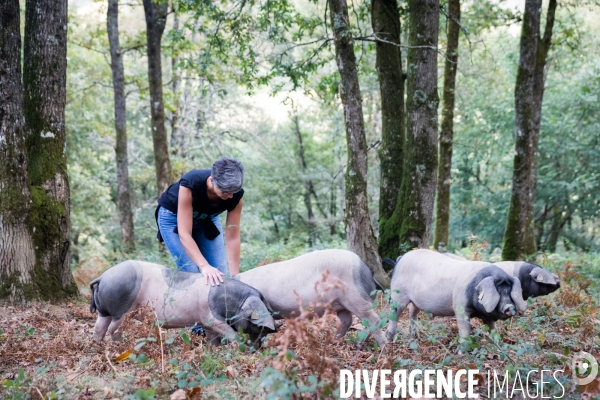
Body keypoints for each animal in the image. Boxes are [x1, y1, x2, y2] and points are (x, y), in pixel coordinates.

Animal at [89, 260, 276, 346]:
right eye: (256, 323)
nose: (258, 348)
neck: (234, 302)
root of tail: (102, 277)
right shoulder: (211, 318)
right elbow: (231, 333)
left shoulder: (205, 322)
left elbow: (213, 338)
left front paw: (215, 349)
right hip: (121, 310)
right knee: (113, 329)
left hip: (103, 311)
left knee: (99, 328)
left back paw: (98, 345)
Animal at [232, 250, 386, 346]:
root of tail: (367, 272)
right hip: (341, 302)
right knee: (347, 321)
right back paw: (334, 341)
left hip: (355, 298)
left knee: (373, 320)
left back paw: (383, 347)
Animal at [386, 250, 528, 340]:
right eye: (497, 291)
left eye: (509, 291)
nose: (510, 307)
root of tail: (400, 259)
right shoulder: (460, 308)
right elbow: (465, 331)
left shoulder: (487, 315)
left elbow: (493, 329)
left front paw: (496, 344)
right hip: (397, 294)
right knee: (394, 314)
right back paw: (389, 338)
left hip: (416, 302)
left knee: (413, 313)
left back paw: (415, 337)